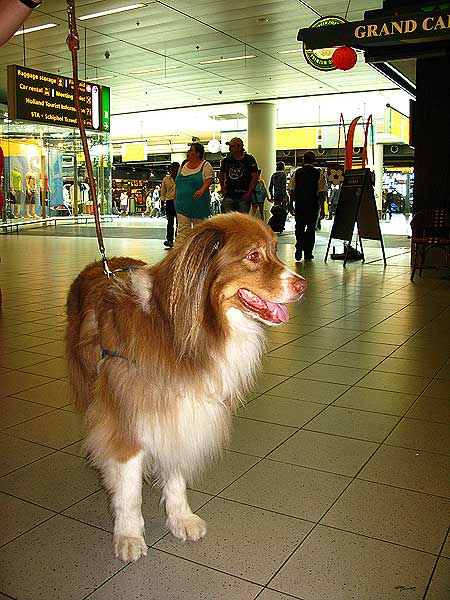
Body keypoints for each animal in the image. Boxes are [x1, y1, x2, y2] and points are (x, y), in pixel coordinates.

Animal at [66, 212, 306, 564]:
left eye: (276, 250)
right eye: (252, 256)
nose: (303, 285)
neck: (176, 330)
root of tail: (98, 263)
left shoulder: (181, 414)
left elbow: (176, 476)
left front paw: (180, 518)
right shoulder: (127, 420)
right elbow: (129, 491)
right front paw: (128, 535)